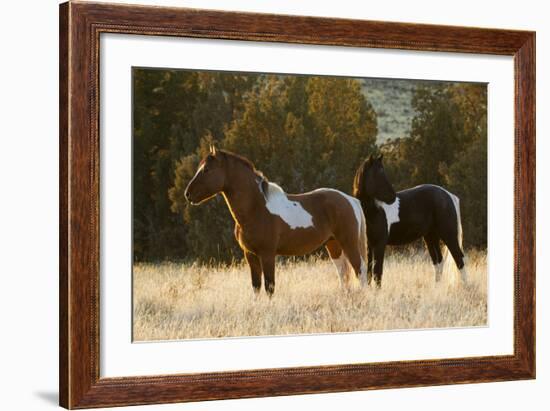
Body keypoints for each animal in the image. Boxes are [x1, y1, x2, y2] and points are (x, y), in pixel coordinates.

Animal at [185, 147, 370, 296]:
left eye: (206, 169)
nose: (188, 194)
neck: (256, 208)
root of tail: (350, 200)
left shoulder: (267, 254)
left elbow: (269, 286)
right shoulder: (250, 254)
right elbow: (256, 286)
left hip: (348, 242)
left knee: (359, 269)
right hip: (333, 244)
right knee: (343, 273)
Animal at [354, 156, 470, 288]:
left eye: (383, 173)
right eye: (378, 174)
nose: (393, 197)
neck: (373, 211)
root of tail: (448, 195)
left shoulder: (380, 244)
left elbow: (377, 272)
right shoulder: (369, 245)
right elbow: (368, 272)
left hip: (448, 235)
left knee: (459, 259)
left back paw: (466, 288)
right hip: (431, 237)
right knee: (439, 262)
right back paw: (436, 288)